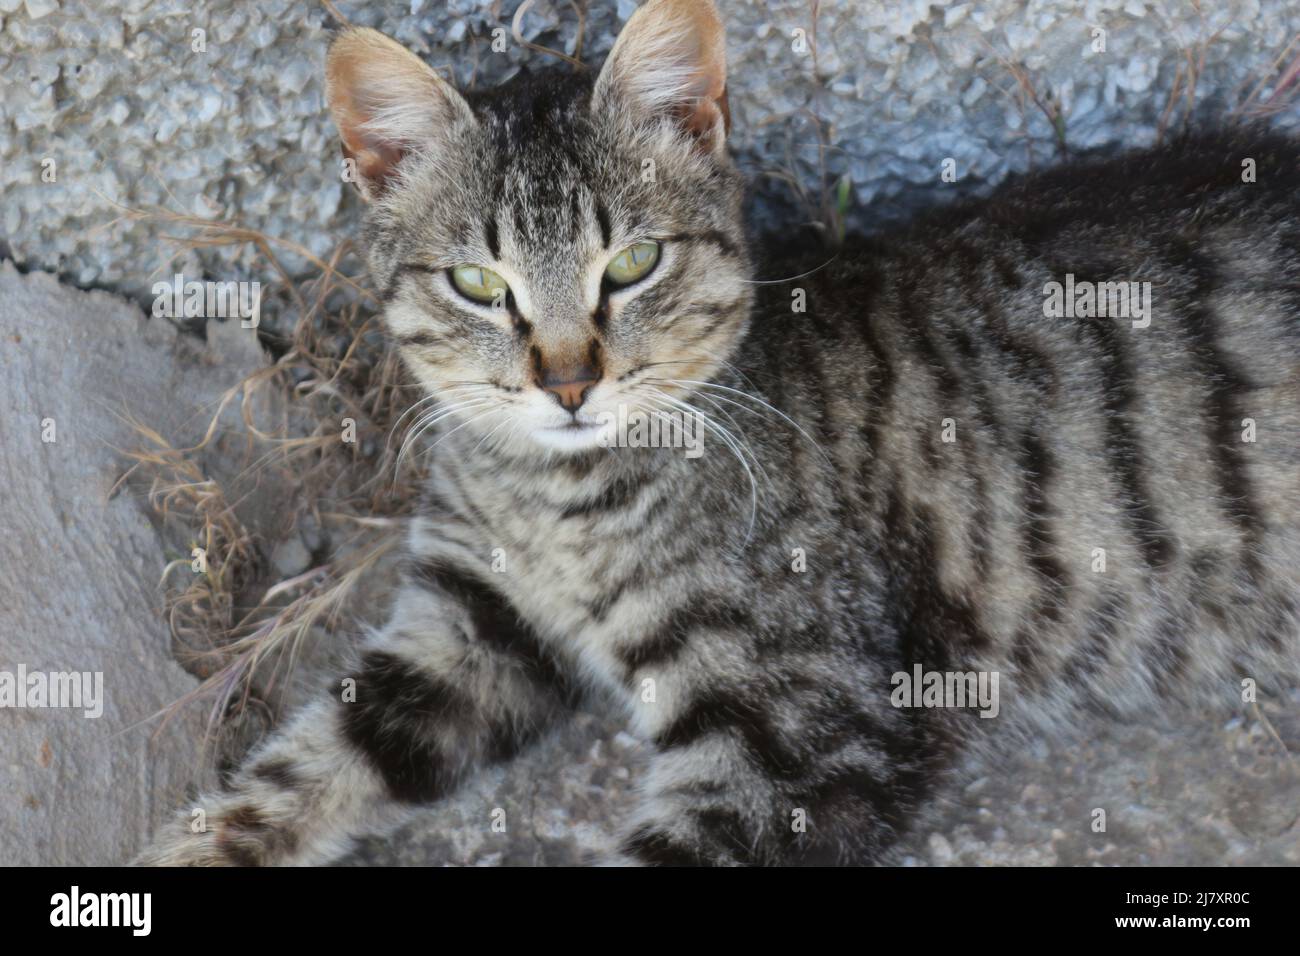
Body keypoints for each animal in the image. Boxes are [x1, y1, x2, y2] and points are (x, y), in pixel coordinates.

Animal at [134, 0, 1300, 868]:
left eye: (632, 264)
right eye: (478, 283)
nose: (568, 382)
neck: (556, 500)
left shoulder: (800, 730)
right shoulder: (467, 626)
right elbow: (297, 772)